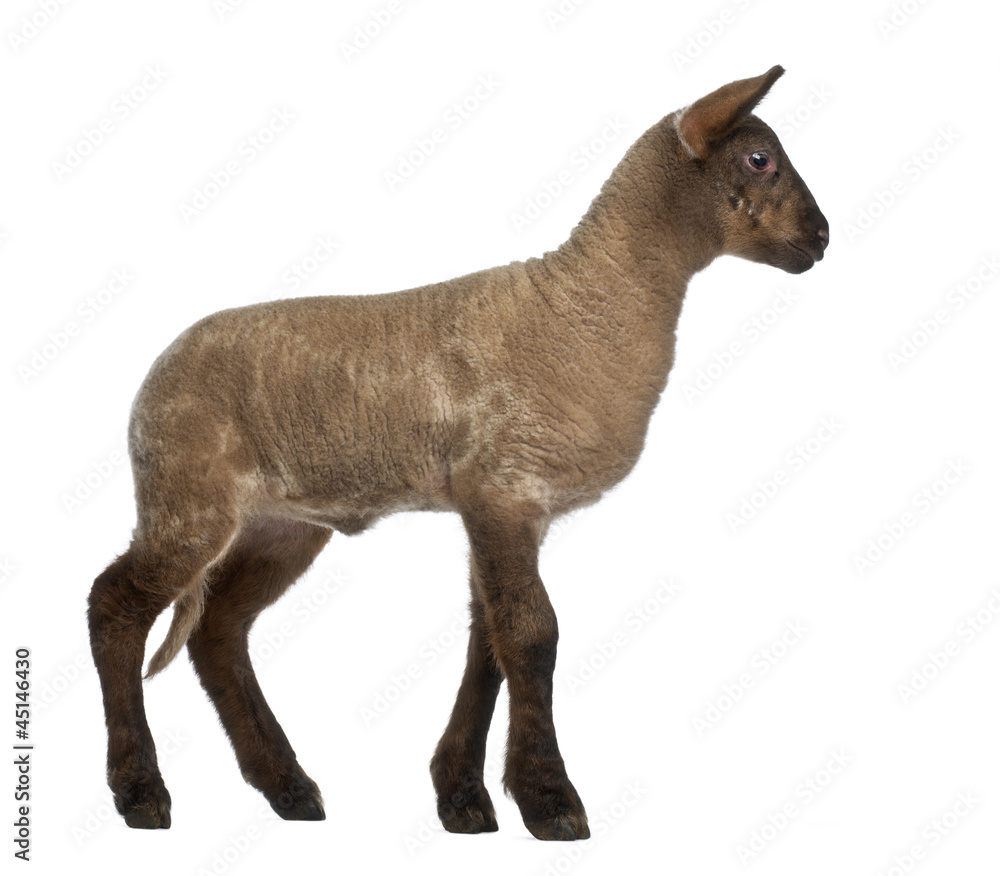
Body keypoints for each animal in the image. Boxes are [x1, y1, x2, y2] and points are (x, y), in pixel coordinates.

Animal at [88, 65, 829, 840]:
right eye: (759, 160)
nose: (822, 236)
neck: (590, 304)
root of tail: (155, 375)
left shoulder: (497, 505)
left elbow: (490, 642)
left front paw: (464, 796)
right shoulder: (504, 490)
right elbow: (531, 634)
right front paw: (550, 800)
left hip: (278, 523)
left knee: (218, 631)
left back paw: (289, 788)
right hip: (186, 494)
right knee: (115, 604)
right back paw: (141, 790)